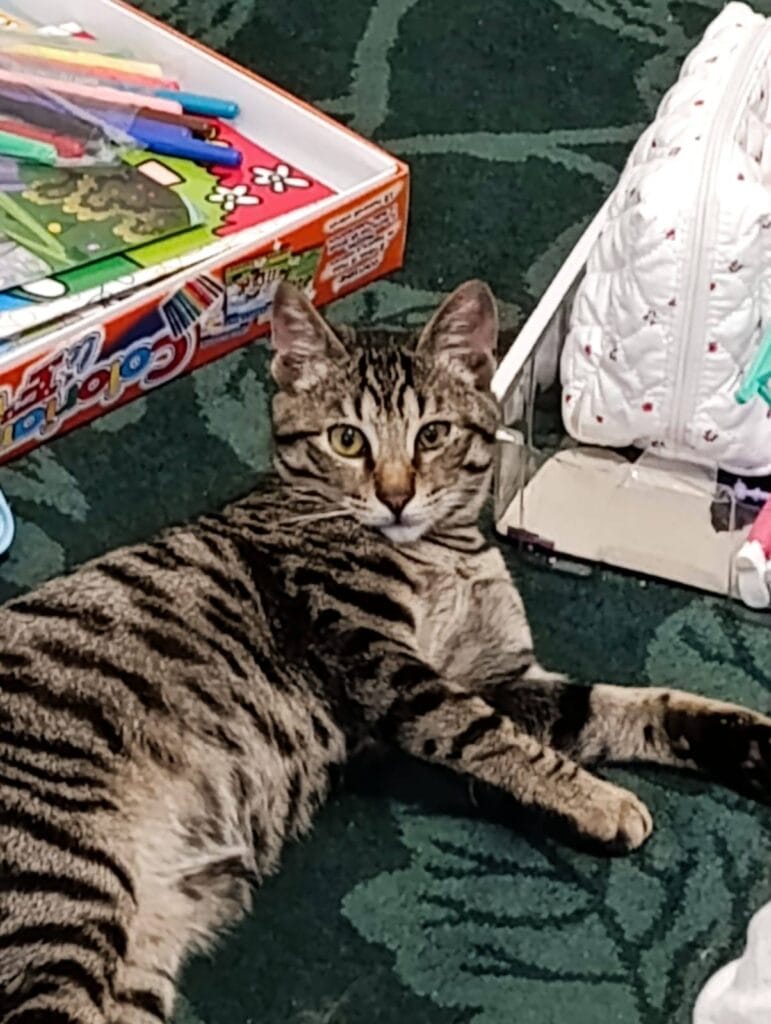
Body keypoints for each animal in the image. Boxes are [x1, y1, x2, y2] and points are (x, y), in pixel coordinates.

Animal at [1, 279, 770, 1023]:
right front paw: (600, 800)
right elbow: (495, 740)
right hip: (65, 897)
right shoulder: (384, 663)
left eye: (433, 434)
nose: (397, 496)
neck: (442, 550)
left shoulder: (499, 675)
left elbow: (620, 705)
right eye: (347, 440)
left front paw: (742, 739)